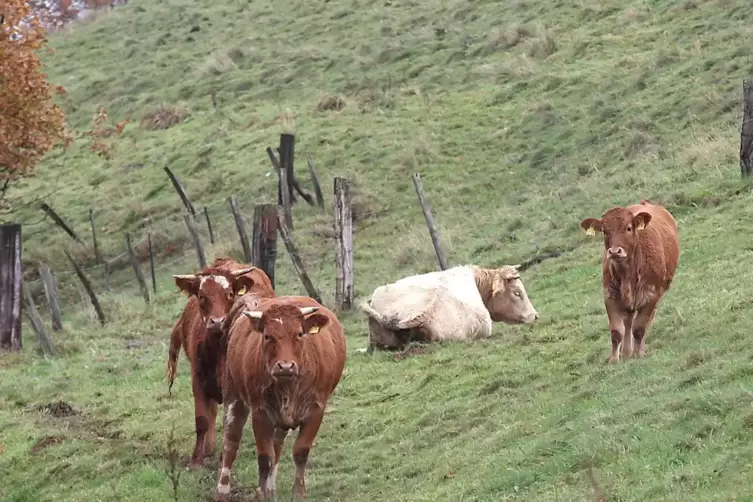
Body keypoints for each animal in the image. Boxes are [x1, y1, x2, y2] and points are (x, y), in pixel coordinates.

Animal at [164, 258, 276, 470]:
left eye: (230, 294)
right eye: (201, 296)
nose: (217, 321)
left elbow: (228, 423)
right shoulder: (198, 379)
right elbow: (202, 420)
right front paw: (196, 460)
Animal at [214, 296, 346, 500]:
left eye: (299, 334)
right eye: (268, 336)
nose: (285, 366)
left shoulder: (316, 410)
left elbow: (300, 452)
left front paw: (298, 493)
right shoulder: (260, 413)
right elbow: (264, 458)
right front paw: (261, 495)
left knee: (277, 444)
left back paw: (271, 488)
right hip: (233, 395)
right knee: (231, 440)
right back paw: (223, 490)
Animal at [580, 200, 680, 364]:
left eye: (628, 228)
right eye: (604, 231)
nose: (615, 251)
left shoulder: (652, 295)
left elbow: (639, 328)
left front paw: (638, 354)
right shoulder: (610, 296)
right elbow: (616, 332)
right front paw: (614, 360)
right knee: (628, 323)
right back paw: (627, 351)